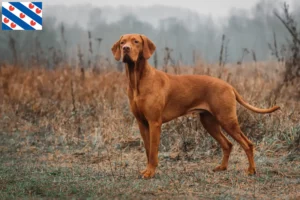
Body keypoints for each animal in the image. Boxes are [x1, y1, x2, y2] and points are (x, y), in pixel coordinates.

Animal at [111, 33, 280, 179]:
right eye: (122, 42)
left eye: (136, 42)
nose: (125, 49)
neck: (137, 80)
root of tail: (229, 86)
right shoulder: (142, 123)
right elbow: (148, 151)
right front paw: (147, 170)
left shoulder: (154, 123)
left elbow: (153, 152)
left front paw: (150, 172)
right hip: (209, 122)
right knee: (228, 144)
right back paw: (222, 167)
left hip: (227, 120)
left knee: (247, 144)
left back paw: (251, 170)